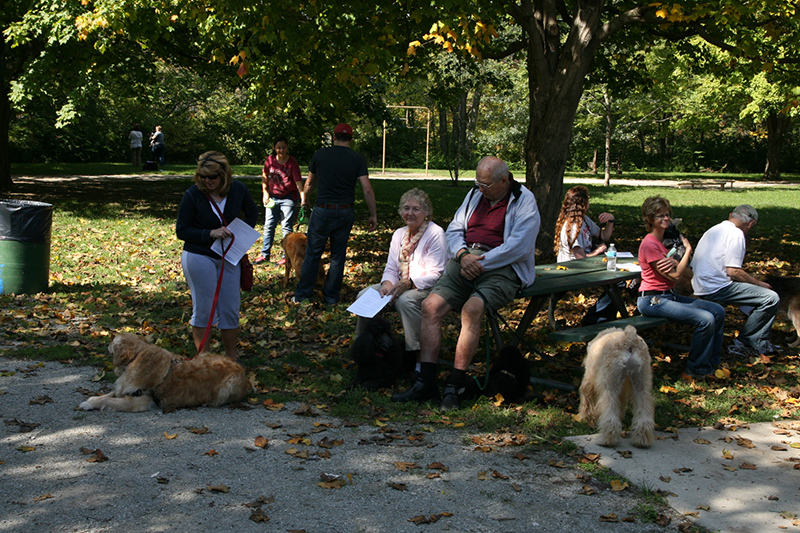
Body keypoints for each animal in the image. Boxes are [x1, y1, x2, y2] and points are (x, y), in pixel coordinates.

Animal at [79, 332, 252, 412]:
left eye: (114, 340)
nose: (107, 344)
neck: (137, 356)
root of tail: (243, 372)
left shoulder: (139, 400)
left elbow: (110, 401)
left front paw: (88, 404)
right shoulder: (124, 388)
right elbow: (108, 395)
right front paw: (93, 398)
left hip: (228, 385)